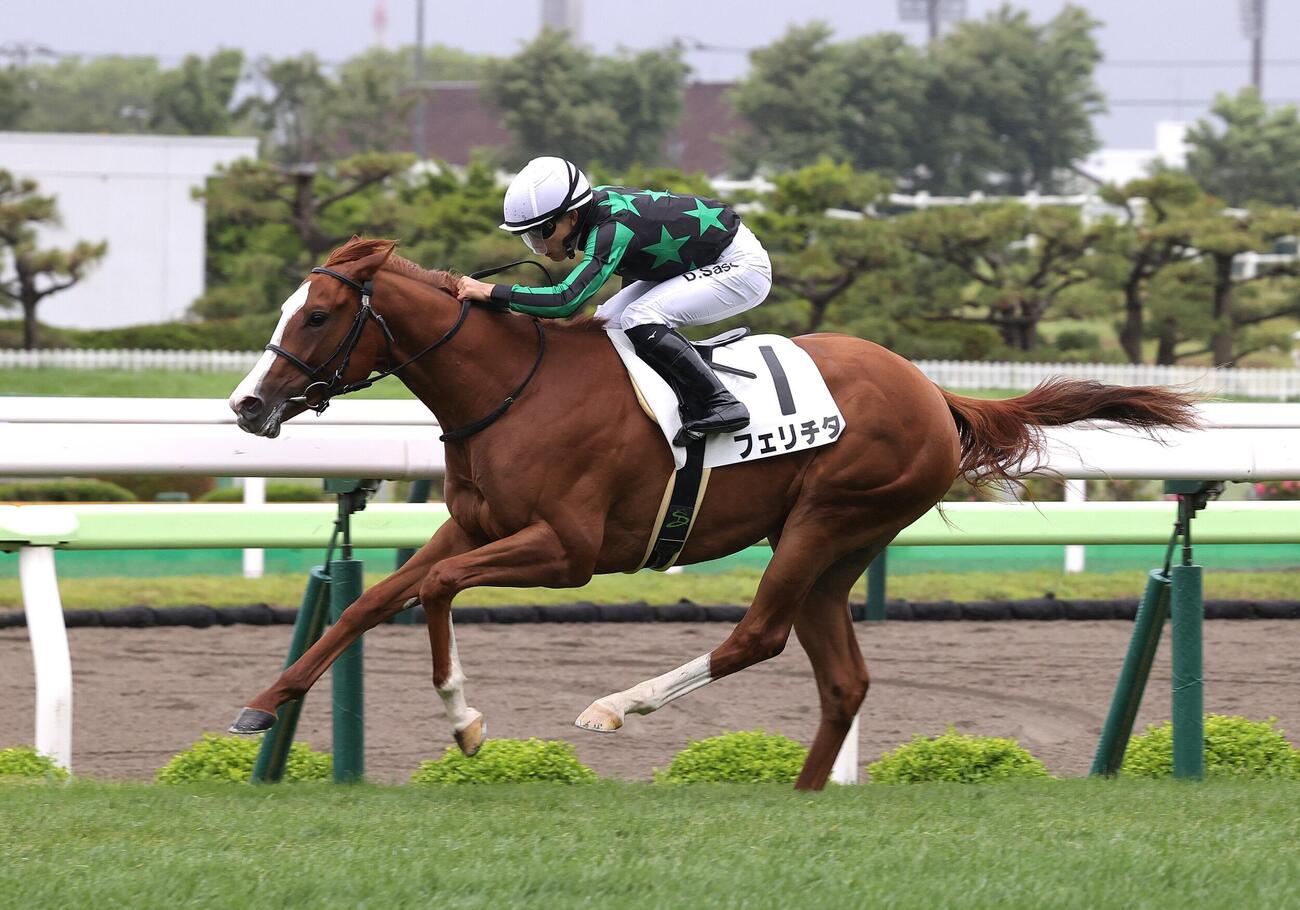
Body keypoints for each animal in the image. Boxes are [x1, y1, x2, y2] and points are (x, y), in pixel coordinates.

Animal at [226, 237, 1198, 790]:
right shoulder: (474, 526)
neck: (512, 388)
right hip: (836, 549)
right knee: (842, 679)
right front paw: (263, 706)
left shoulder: (567, 550)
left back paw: (616, 708)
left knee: (757, 637)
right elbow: (369, 601)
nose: (247, 405)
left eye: (318, 315)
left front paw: (466, 724)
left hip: (826, 521)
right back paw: (802, 795)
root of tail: (932, 391)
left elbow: (437, 593)